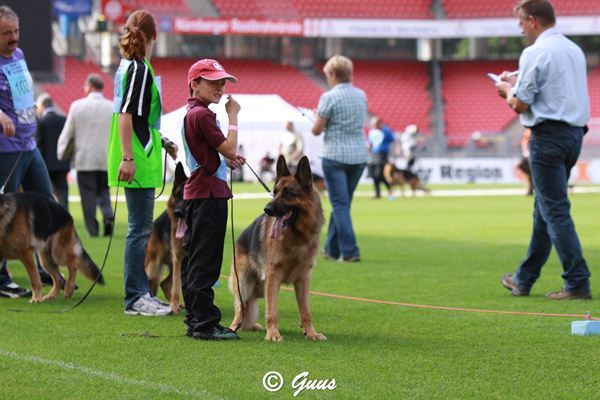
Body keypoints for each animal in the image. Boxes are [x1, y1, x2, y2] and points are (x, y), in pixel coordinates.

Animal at [145, 161, 188, 314]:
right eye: (178, 195)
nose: (178, 213)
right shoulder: (179, 258)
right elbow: (176, 287)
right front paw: (174, 306)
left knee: (164, 283)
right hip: (154, 265)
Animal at [229, 155, 326, 342]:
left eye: (288, 193)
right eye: (275, 192)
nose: (267, 209)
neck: (296, 235)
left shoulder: (303, 278)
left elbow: (306, 311)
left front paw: (310, 332)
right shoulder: (273, 277)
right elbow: (272, 311)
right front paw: (273, 333)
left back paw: (251, 325)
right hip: (243, 284)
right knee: (240, 309)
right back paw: (233, 328)